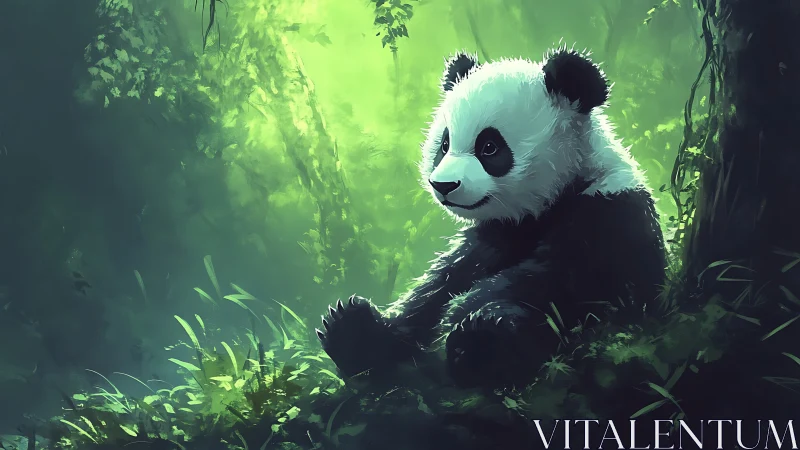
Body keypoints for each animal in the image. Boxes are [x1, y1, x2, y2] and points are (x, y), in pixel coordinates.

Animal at [316, 47, 667, 389]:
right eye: (444, 145)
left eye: (489, 147)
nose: (443, 185)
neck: (554, 199)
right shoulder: (494, 234)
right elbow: (440, 284)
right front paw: (356, 331)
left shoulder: (609, 212)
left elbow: (561, 284)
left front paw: (471, 326)